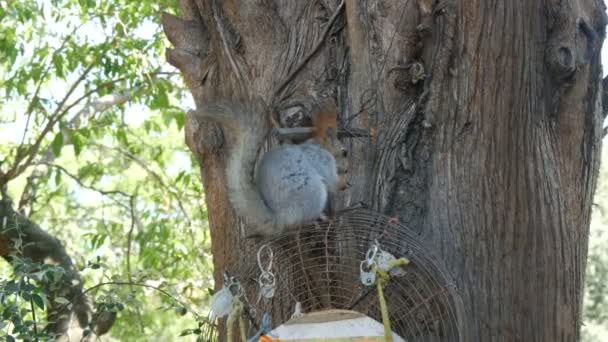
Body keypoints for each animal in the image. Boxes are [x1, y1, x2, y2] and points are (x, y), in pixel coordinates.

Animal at [195, 98, 346, 238]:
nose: (346, 168)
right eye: (344, 152)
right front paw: (344, 183)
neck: (320, 145)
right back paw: (317, 218)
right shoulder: (324, 160)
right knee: (305, 219)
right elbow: (332, 183)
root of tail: (281, 217)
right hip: (313, 193)